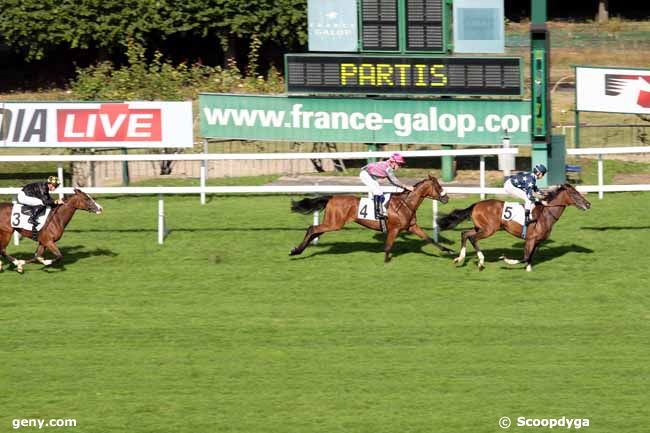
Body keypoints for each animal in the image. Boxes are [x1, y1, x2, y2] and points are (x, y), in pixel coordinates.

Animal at [288, 173, 450, 262]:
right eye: (438, 186)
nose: (446, 198)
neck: (406, 203)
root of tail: (332, 197)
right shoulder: (394, 229)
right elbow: (388, 246)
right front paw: (386, 262)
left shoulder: (412, 226)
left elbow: (429, 239)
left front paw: (448, 250)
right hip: (334, 223)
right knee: (312, 229)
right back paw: (296, 251)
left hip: (331, 223)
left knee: (315, 231)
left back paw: (297, 250)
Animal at [438, 183, 588, 272]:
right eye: (574, 193)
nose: (588, 204)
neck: (546, 214)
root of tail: (476, 205)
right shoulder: (530, 239)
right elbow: (525, 257)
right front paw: (507, 260)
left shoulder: (536, 241)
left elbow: (530, 256)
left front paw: (529, 270)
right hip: (489, 230)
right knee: (473, 238)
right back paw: (480, 262)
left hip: (480, 228)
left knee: (465, 234)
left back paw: (460, 258)